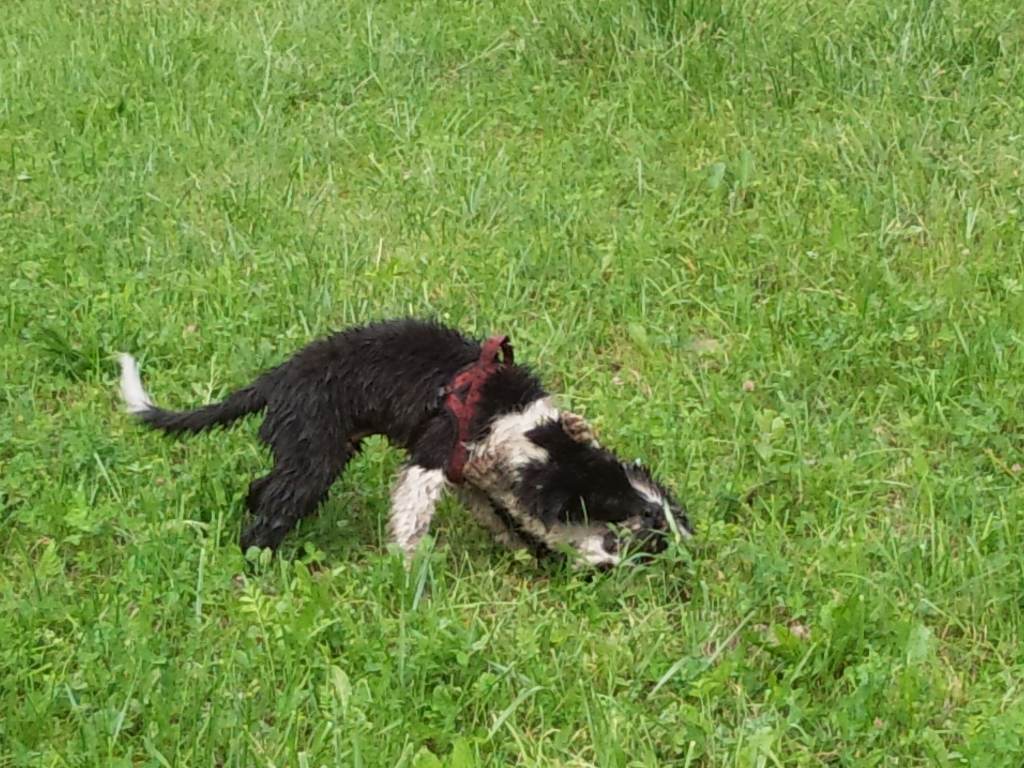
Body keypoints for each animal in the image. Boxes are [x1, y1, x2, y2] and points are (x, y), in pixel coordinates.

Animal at [118, 318, 692, 567]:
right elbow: (412, 520)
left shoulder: (474, 480)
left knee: (263, 490)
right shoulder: (435, 455)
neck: (528, 432)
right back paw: (258, 562)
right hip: (317, 456)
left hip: (304, 454)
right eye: (635, 531)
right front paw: (410, 569)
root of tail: (276, 379)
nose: (687, 544)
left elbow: (506, 521)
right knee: (269, 513)